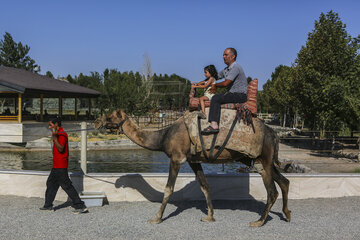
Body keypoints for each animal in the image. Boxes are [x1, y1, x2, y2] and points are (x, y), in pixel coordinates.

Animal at [94, 109, 292, 226]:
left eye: (110, 116)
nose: (96, 122)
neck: (163, 136)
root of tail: (274, 134)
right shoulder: (193, 160)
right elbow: (205, 186)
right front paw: (210, 216)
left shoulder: (176, 158)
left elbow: (168, 189)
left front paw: (156, 218)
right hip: (263, 161)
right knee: (284, 181)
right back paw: (287, 214)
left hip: (263, 159)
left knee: (272, 190)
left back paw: (259, 221)